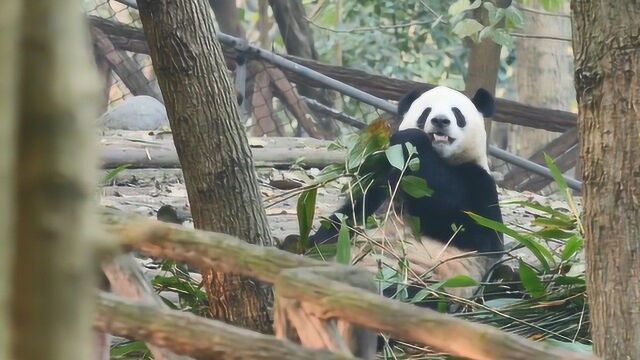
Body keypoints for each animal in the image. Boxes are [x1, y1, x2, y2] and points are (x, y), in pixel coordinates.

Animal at [308, 86, 508, 308]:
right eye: (426, 112)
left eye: (457, 113)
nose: (440, 121)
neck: (440, 159)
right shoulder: (382, 179)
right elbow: (348, 217)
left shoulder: (479, 183)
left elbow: (471, 228)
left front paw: (413, 139)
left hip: (427, 285)